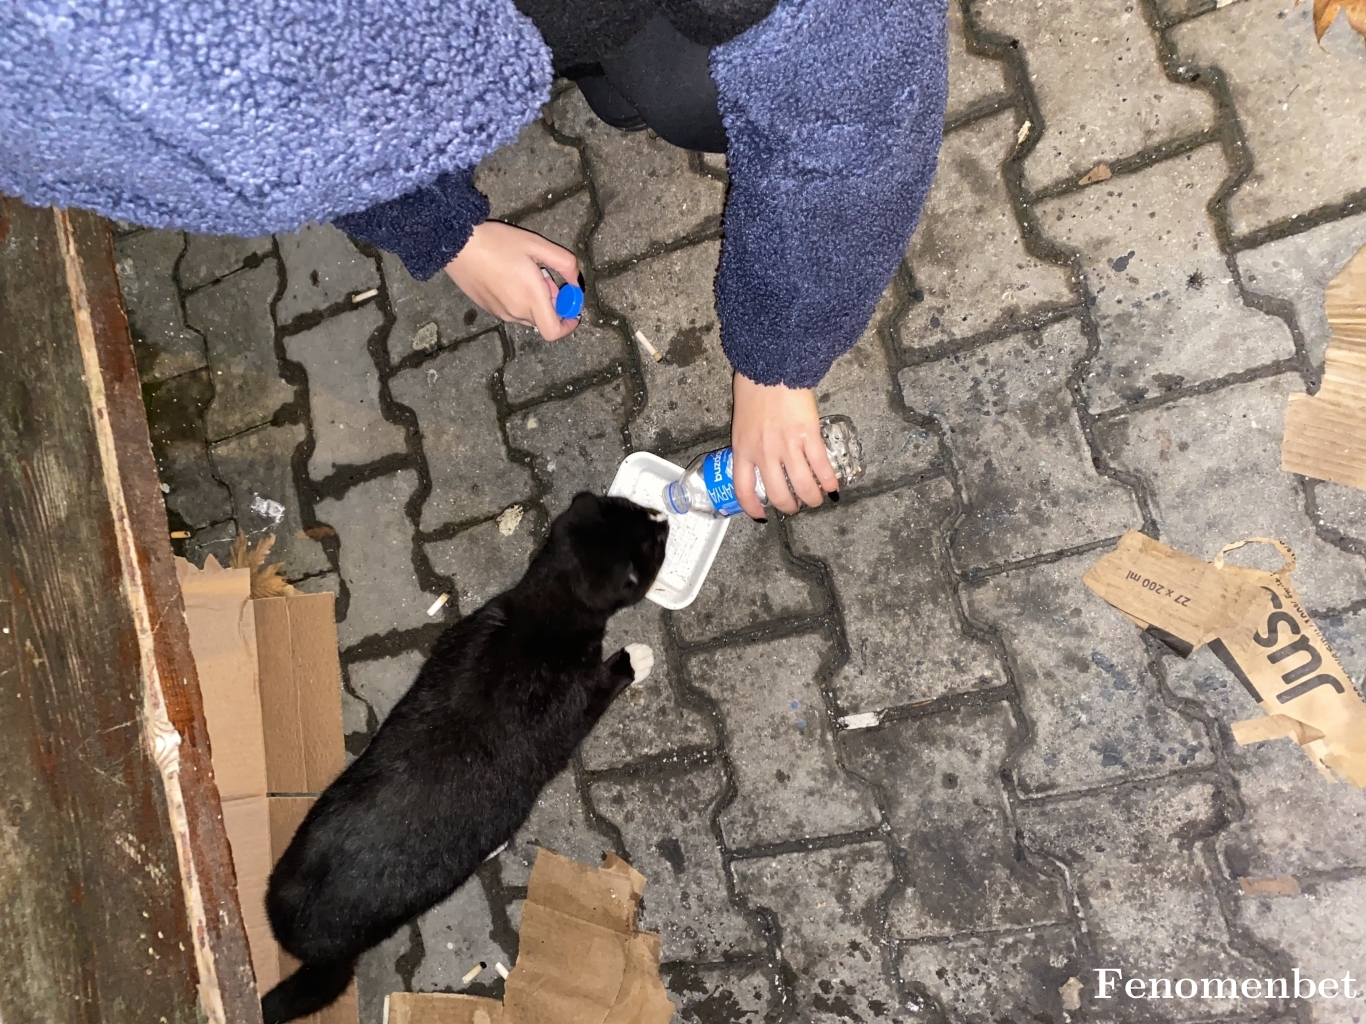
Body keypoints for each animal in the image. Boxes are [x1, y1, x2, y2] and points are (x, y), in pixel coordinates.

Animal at [258, 494, 669, 1021]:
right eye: (652, 545)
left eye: (631, 506)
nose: (665, 517)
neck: (544, 610)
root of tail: (307, 943)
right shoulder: (573, 699)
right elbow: (603, 684)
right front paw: (634, 658)